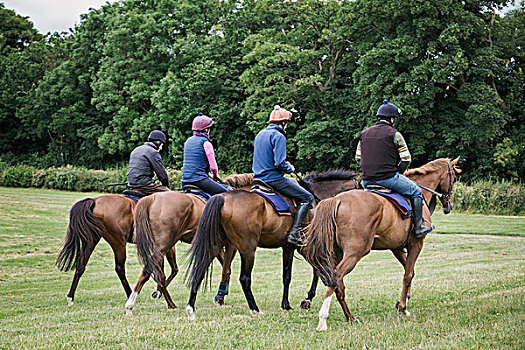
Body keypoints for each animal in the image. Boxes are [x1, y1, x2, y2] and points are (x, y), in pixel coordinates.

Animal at [123, 172, 254, 314]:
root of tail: (151, 198)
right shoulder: (231, 244)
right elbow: (227, 269)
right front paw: (220, 297)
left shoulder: (217, 246)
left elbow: (225, 266)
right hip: (164, 245)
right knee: (148, 270)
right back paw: (132, 304)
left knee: (157, 271)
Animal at [184, 170, 360, 320]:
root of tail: (223, 197)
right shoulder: (304, 246)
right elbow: (315, 270)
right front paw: (307, 299)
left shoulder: (288, 247)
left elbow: (287, 276)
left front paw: (287, 304)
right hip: (248, 249)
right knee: (244, 279)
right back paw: (255, 309)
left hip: (215, 245)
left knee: (199, 270)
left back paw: (191, 308)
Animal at [300, 157, 460, 330]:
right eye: (453, 179)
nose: (449, 206)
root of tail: (337, 199)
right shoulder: (416, 245)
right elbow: (407, 274)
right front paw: (403, 307)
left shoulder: (397, 248)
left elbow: (410, 272)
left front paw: (402, 301)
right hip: (355, 253)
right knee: (336, 276)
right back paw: (323, 319)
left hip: (337, 253)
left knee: (338, 283)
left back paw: (350, 317)